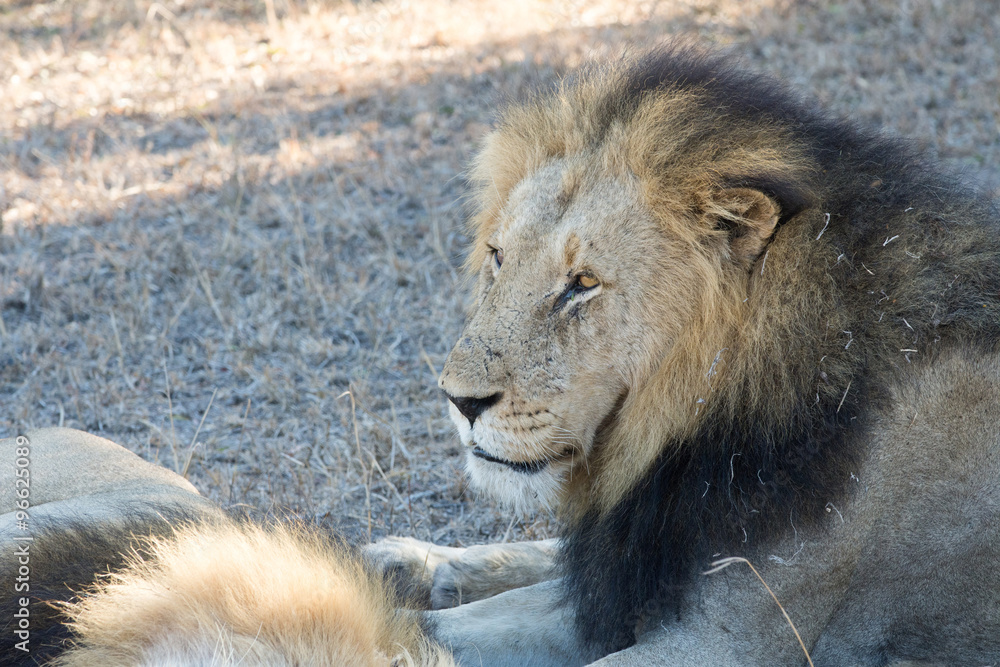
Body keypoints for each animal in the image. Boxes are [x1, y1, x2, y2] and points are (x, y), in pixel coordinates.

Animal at [367, 45, 1000, 666]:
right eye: (498, 256)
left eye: (583, 283)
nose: (459, 402)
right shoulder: (634, 579)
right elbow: (437, 627)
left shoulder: (732, 639)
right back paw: (410, 563)